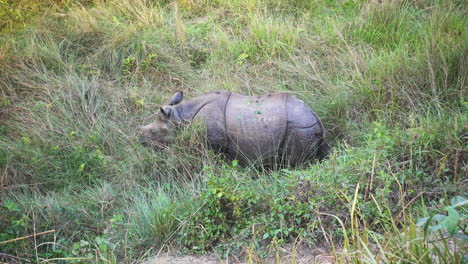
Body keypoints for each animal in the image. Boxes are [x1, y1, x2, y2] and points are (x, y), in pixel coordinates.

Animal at [139, 91, 330, 165]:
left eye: (154, 133)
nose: (140, 139)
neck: (180, 117)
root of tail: (314, 115)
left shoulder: (214, 143)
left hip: (299, 129)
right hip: (307, 127)